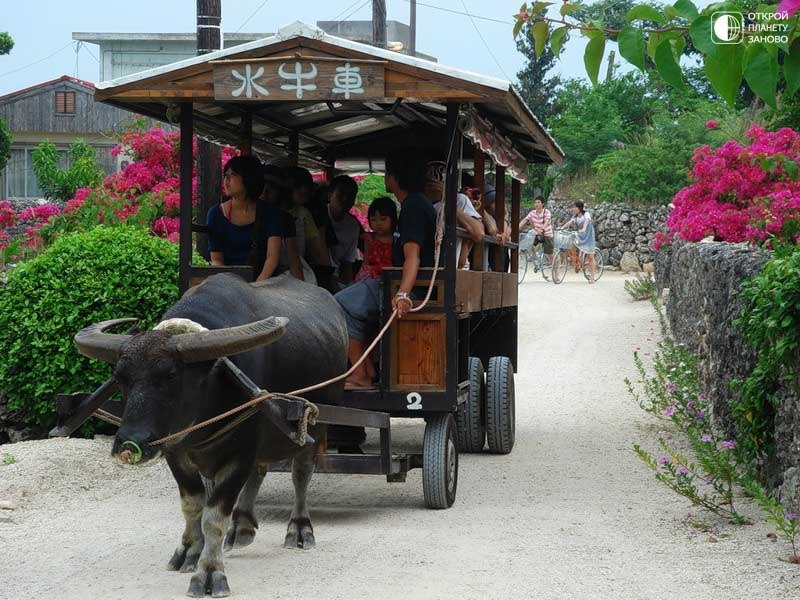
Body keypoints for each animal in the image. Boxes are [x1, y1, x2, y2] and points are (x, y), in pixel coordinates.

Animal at [74, 274, 346, 596]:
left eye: (170, 375)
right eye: (119, 377)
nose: (130, 444)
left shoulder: (239, 453)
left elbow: (214, 517)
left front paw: (209, 573)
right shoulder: (175, 451)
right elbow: (193, 505)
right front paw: (189, 552)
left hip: (313, 427)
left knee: (301, 473)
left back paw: (300, 529)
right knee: (258, 472)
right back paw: (241, 527)